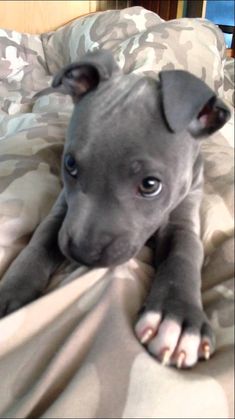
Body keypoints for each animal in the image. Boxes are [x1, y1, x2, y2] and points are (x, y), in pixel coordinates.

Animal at [0, 50, 230, 370]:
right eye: (70, 165)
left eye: (150, 185)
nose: (82, 252)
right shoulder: (62, 211)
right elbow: (41, 240)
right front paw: (12, 291)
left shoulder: (185, 213)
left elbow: (184, 253)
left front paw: (179, 317)